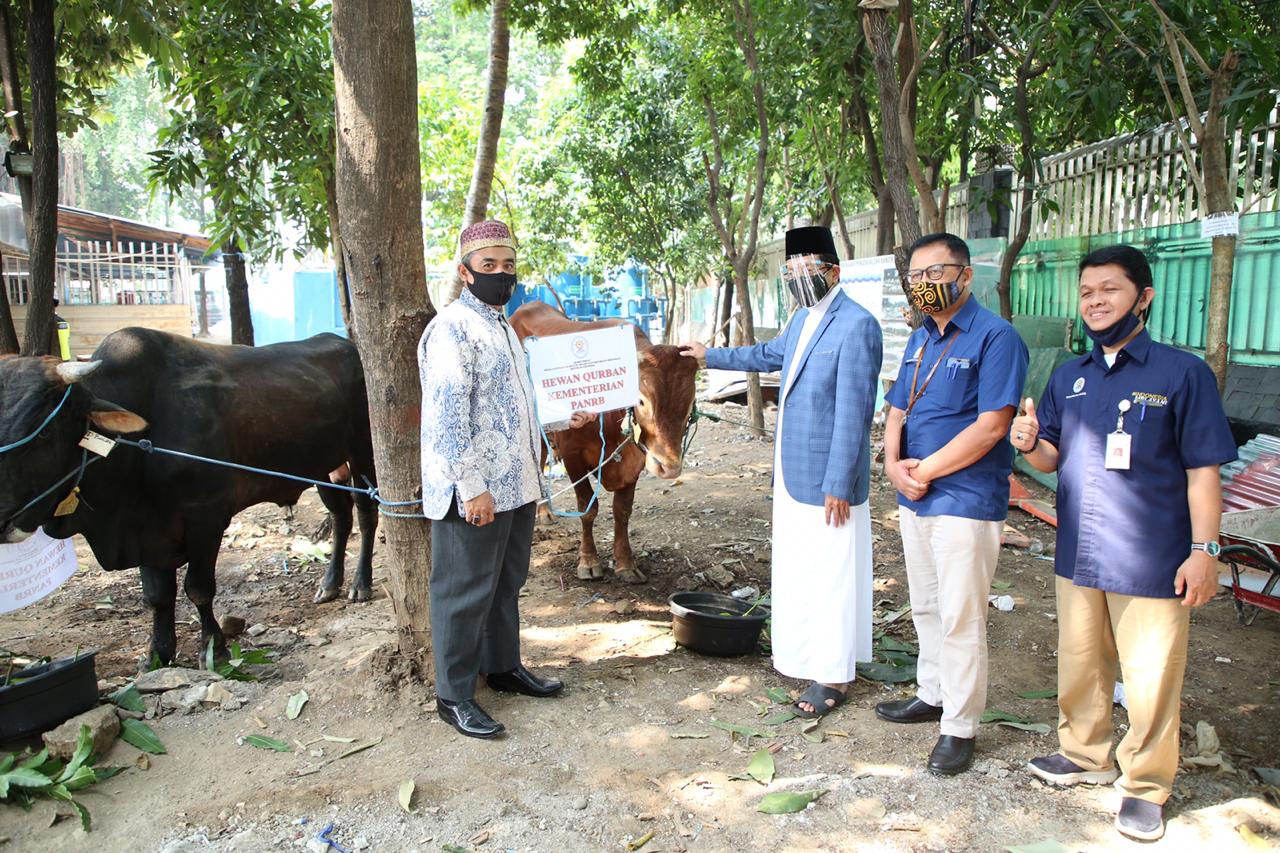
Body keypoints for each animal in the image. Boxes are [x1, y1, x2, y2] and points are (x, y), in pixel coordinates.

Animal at [0, 326, 376, 666]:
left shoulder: (205, 518)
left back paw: (360, 584)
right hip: (324, 466)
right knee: (340, 516)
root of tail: (346, 344)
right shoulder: (147, 530)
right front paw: (157, 653)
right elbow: (157, 595)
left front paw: (215, 649)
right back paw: (330, 583)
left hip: (363, 451)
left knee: (365, 513)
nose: (2, 519)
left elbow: (198, 587)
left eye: (43, 431)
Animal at [506, 300, 696, 584]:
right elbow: (588, 508)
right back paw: (543, 511)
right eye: (641, 400)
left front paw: (626, 563)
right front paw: (589, 561)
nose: (669, 467)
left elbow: (622, 511)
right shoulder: (573, 456)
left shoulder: (635, 461)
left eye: (690, 401)